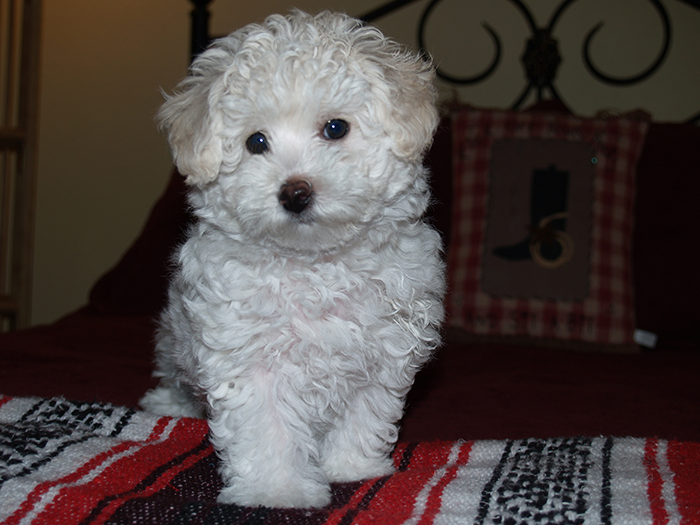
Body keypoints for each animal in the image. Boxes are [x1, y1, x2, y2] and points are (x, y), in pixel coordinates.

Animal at [140, 9, 446, 508]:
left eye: (336, 128)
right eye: (255, 141)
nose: (295, 192)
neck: (315, 265)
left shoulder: (383, 351)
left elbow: (363, 415)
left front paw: (352, 468)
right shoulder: (248, 356)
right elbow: (269, 429)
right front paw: (277, 490)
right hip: (175, 341)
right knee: (176, 375)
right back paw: (167, 405)